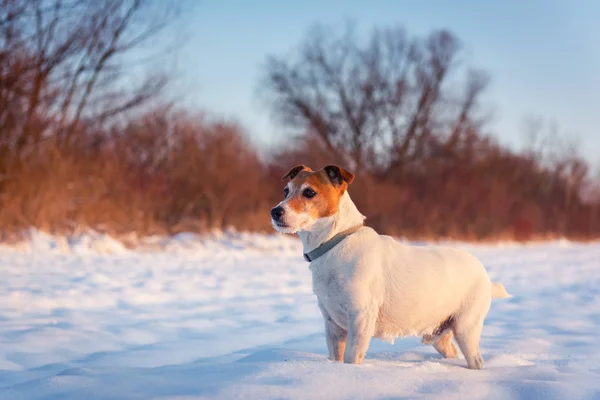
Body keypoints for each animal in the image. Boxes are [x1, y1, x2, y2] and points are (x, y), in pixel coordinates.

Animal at [272, 163, 510, 368]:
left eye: (309, 192)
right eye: (286, 191)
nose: (275, 212)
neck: (335, 242)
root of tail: (483, 273)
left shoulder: (360, 318)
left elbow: (351, 357)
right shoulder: (333, 324)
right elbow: (336, 356)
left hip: (466, 327)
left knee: (476, 359)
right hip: (439, 336)